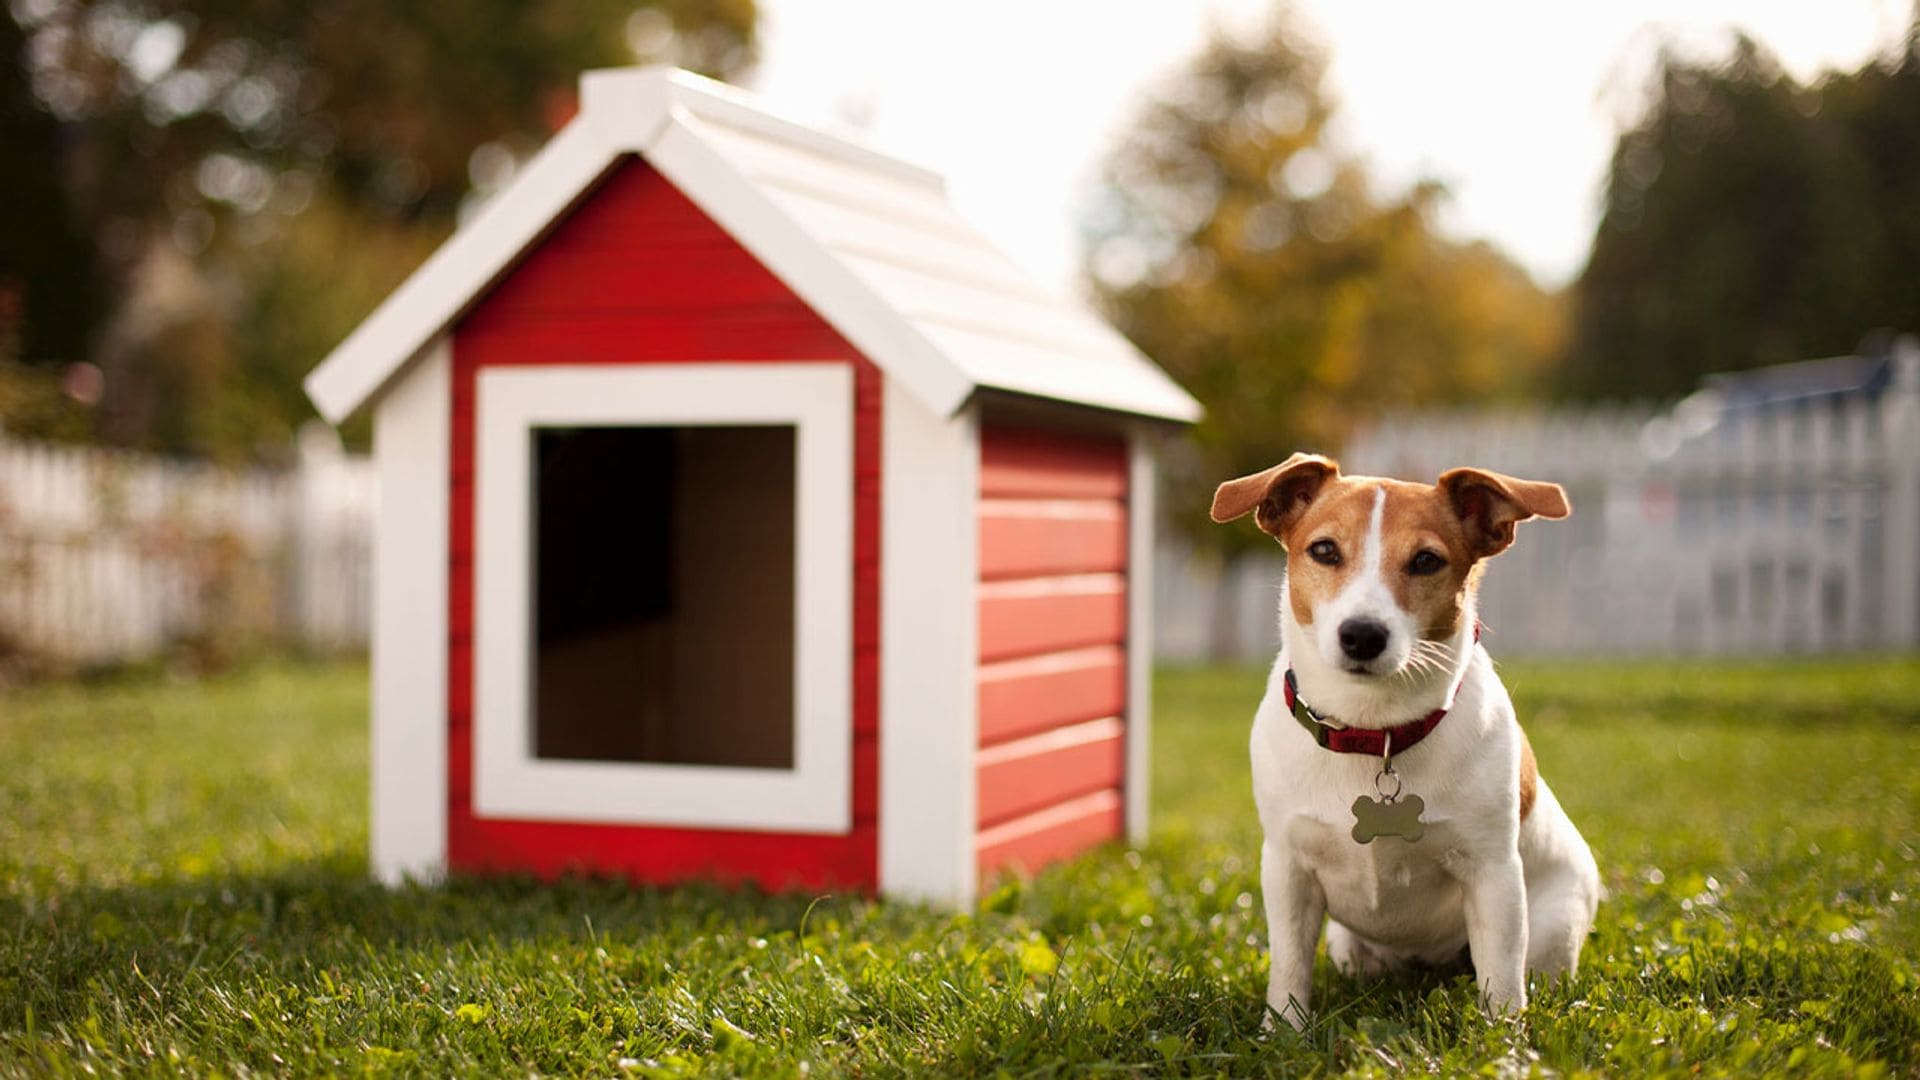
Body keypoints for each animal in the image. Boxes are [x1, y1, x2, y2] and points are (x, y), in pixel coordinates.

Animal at [1213, 451, 1605, 1022]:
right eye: (1324, 550)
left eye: (1425, 561)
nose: (1362, 634)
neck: (1375, 731)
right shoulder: (1288, 870)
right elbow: (1288, 968)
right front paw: (1283, 1030)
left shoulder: (1492, 875)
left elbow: (1503, 983)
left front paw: (1505, 1040)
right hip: (1347, 945)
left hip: (1552, 926)